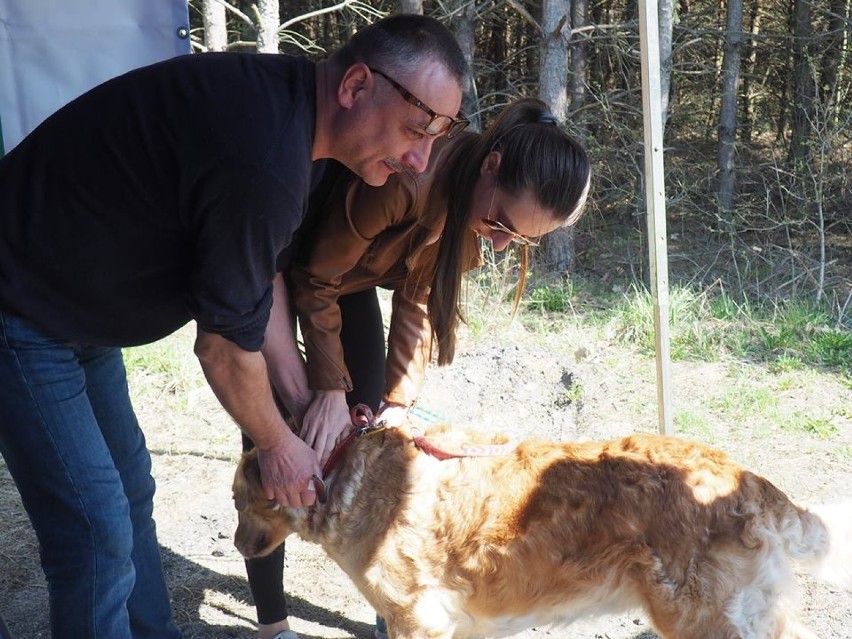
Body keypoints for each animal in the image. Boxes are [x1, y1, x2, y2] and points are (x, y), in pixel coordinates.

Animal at [231, 420, 852, 639]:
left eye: (239, 501)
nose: (237, 544)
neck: (341, 474)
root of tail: (745, 479)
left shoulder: (417, 621)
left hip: (702, 621)